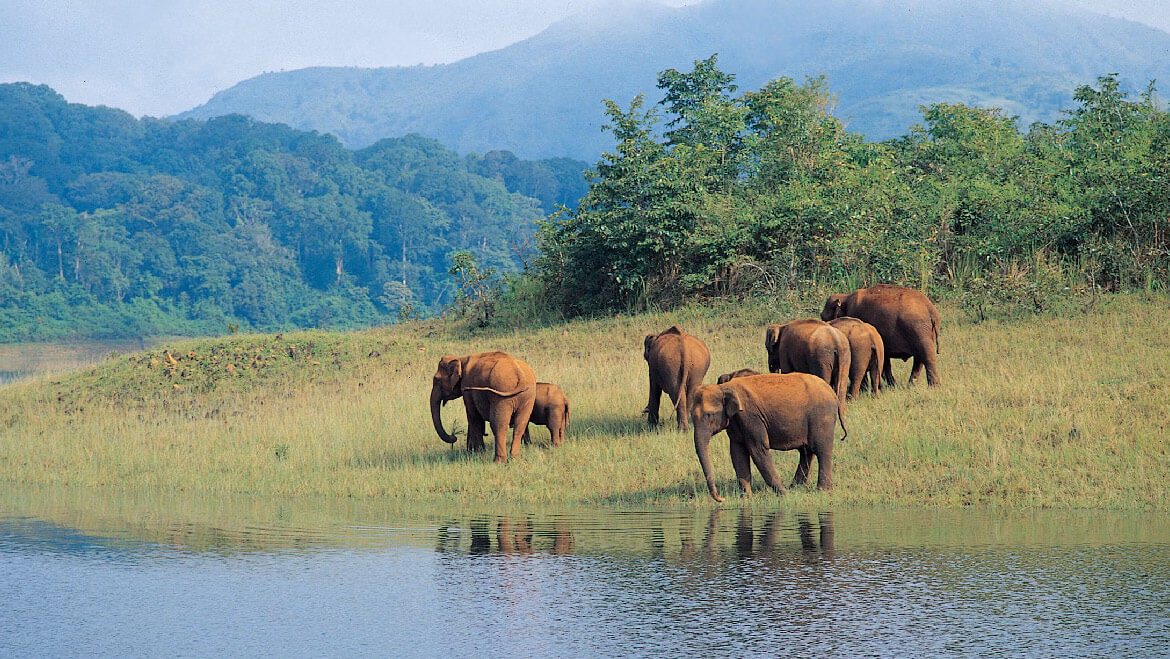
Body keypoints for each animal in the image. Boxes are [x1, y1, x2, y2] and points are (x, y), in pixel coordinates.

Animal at [690, 373, 846, 502]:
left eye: (709, 415)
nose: (721, 499)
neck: (723, 388)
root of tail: (833, 394)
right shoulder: (735, 422)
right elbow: (737, 453)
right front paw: (746, 498)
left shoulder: (750, 417)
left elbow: (758, 449)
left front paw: (784, 495)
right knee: (806, 452)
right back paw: (796, 488)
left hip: (822, 416)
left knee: (821, 450)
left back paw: (822, 491)